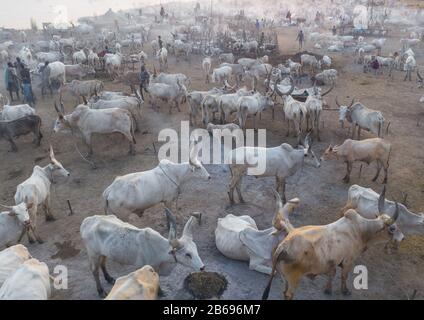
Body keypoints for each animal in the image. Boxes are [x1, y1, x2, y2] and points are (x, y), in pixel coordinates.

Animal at [262, 189, 400, 298]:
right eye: (392, 228)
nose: (399, 239)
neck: (361, 230)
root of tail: (283, 246)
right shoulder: (348, 262)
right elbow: (344, 276)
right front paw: (345, 291)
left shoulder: (333, 263)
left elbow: (332, 274)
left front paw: (328, 289)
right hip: (293, 280)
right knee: (288, 295)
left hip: (285, 278)